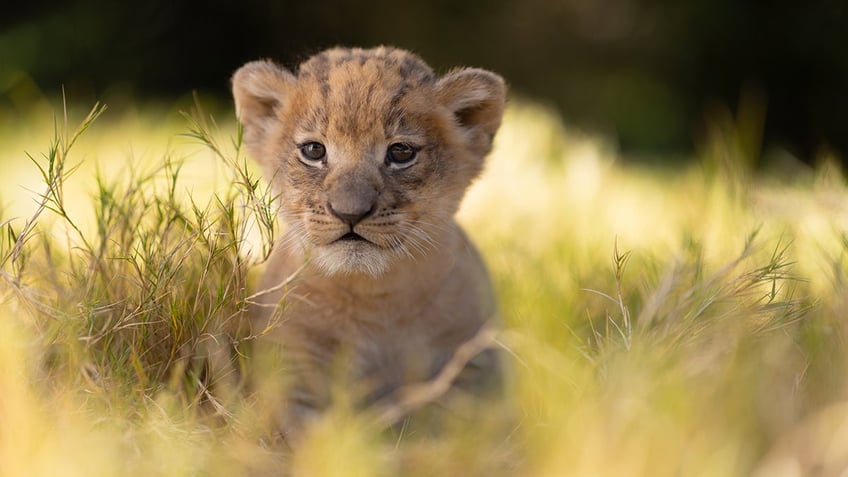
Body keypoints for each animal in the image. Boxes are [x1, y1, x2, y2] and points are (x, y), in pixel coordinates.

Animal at [231, 46, 506, 441]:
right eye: (313, 150)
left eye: (401, 152)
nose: (350, 213)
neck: (376, 297)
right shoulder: (290, 366)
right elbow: (305, 435)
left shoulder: (473, 361)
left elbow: (456, 427)